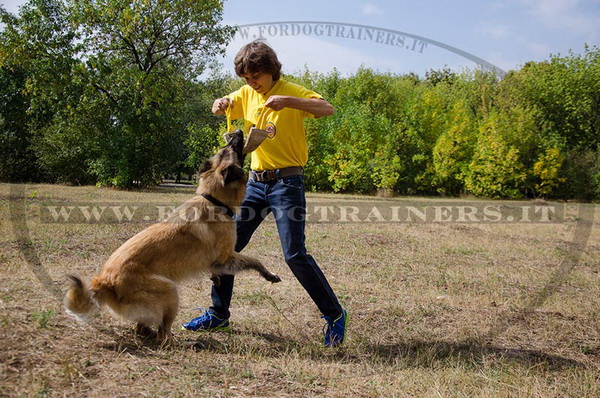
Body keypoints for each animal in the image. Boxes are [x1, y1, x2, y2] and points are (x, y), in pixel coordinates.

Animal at [64, 131, 280, 346]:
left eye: (227, 147)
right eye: (233, 147)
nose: (237, 132)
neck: (213, 200)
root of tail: (105, 282)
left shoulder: (218, 262)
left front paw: (216, 278)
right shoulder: (226, 257)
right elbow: (254, 260)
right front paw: (270, 275)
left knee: (143, 328)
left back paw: (151, 332)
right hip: (170, 292)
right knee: (164, 336)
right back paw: (189, 343)